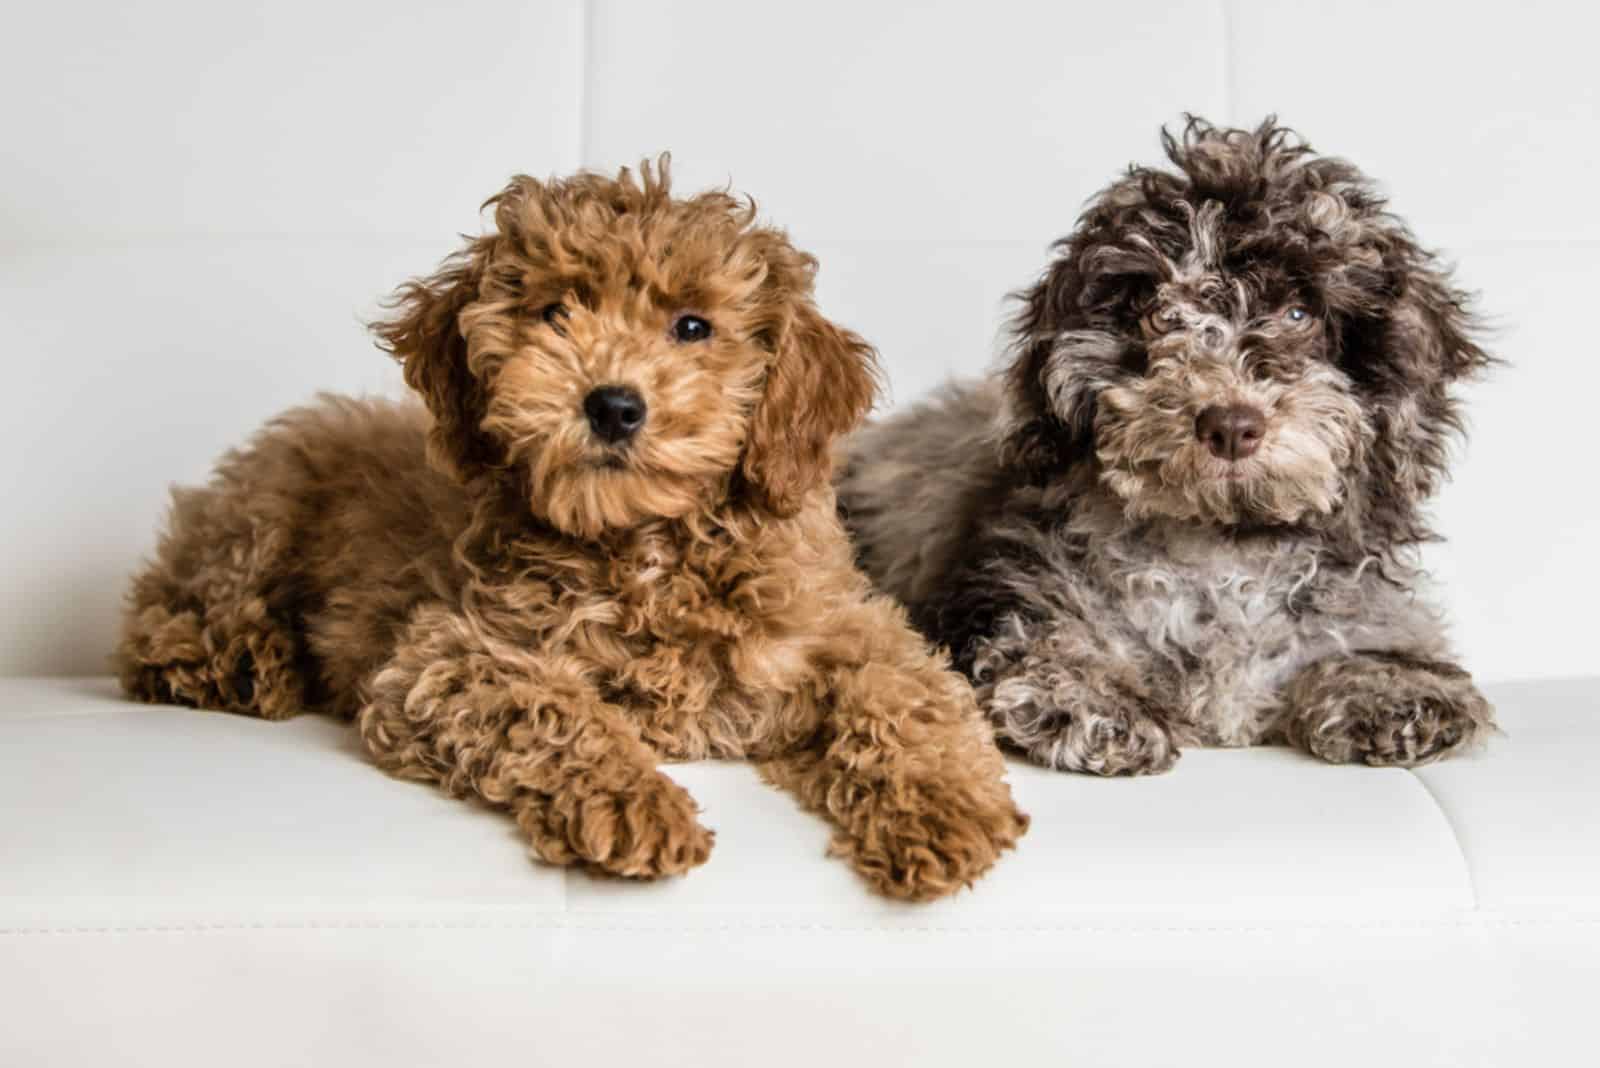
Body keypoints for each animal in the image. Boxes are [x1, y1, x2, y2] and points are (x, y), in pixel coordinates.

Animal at [118, 158, 1030, 895]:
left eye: (692, 326)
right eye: (556, 312)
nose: (614, 405)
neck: (647, 547)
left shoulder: (847, 628)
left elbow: (905, 695)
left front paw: (945, 810)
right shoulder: (445, 657)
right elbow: (554, 706)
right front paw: (638, 804)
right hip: (261, 517)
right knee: (164, 619)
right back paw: (242, 664)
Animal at [838, 119, 1497, 777]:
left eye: (1298, 314)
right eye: (1159, 316)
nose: (1231, 424)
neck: (1223, 549)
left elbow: (1370, 638)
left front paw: (1392, 689)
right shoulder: (1010, 592)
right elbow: (1050, 641)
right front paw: (1089, 695)